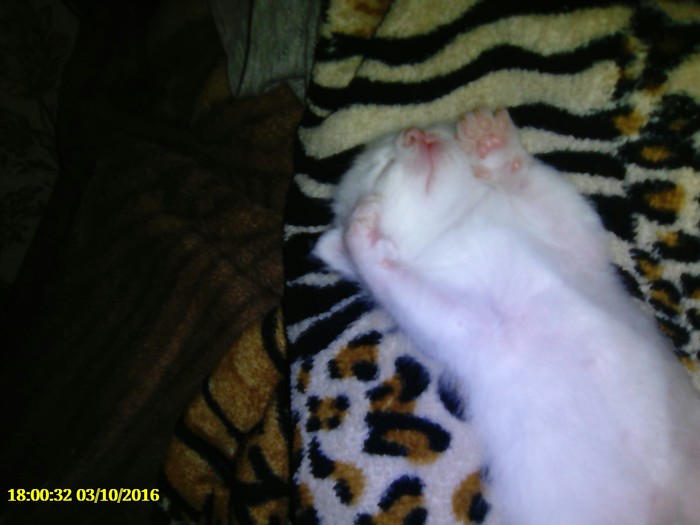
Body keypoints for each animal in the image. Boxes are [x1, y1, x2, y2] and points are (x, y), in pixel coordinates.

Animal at [314, 109, 700, 525]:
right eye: (382, 167)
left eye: (436, 132)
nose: (415, 134)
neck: (461, 225)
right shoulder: (473, 328)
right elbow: (399, 283)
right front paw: (362, 239)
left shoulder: (577, 246)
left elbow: (552, 199)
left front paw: (494, 146)